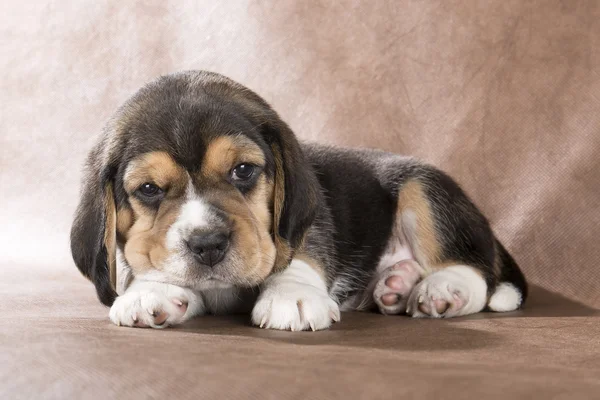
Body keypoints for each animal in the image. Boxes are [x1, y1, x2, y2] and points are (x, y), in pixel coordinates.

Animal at [70, 70, 528, 330]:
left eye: (243, 170)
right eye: (149, 190)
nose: (208, 244)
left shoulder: (305, 220)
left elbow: (297, 250)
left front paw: (291, 295)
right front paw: (151, 290)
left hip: (423, 187)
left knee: (477, 272)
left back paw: (441, 289)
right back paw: (395, 285)